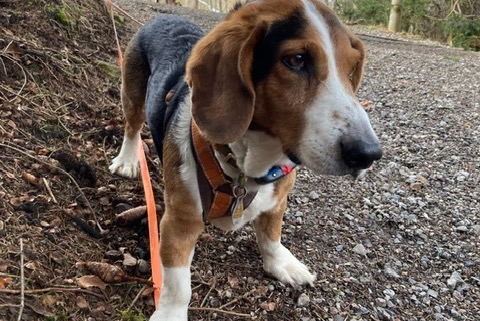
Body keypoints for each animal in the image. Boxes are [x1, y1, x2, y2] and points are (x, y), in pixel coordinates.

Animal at [109, 1, 382, 318]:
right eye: (297, 60)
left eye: (352, 69)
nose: (368, 154)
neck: (246, 167)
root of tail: (165, 18)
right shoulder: (179, 222)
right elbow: (178, 284)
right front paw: (170, 315)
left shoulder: (278, 199)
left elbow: (272, 236)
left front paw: (281, 263)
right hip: (132, 93)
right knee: (132, 127)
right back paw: (127, 160)